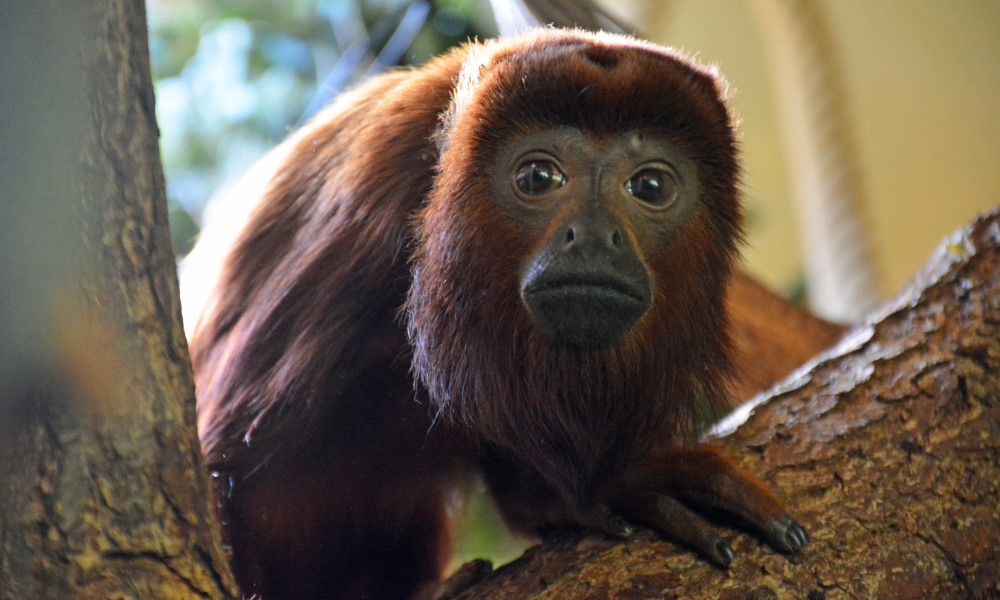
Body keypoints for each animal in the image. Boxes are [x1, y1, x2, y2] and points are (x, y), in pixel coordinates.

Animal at [184, 28, 808, 600]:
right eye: (538, 177)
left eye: (650, 186)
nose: (595, 238)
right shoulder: (358, 212)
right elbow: (224, 464)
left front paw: (614, 485)